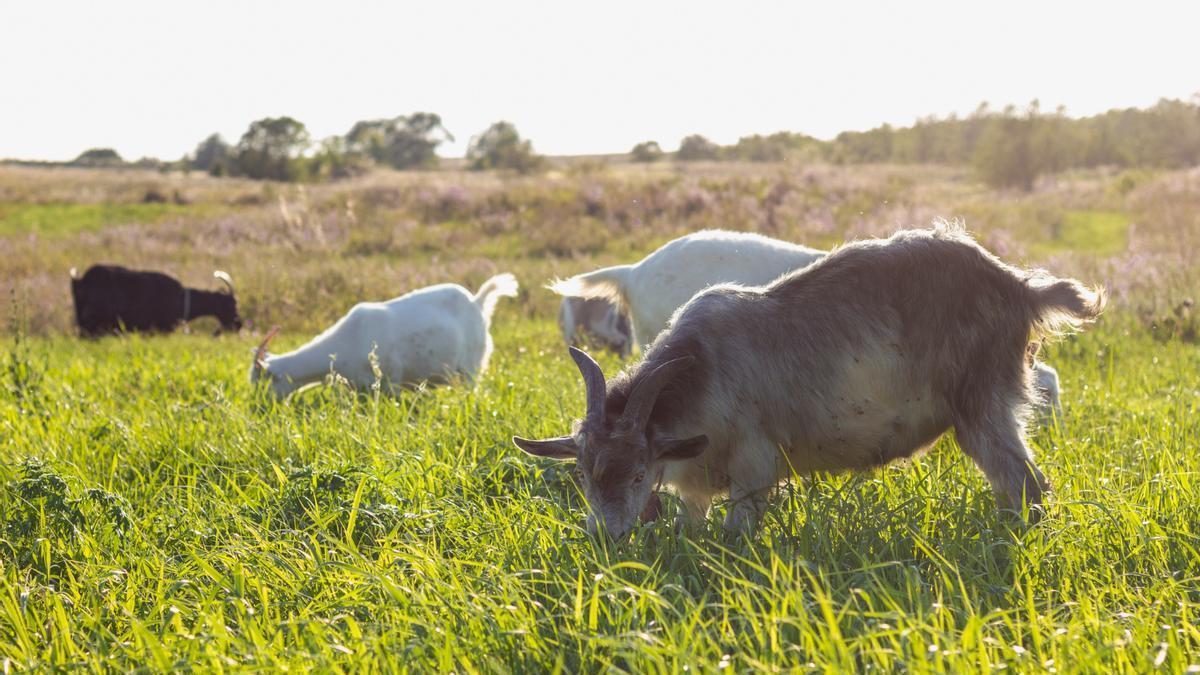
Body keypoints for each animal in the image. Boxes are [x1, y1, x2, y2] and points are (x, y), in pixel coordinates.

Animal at [250, 273, 518, 398]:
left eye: (262, 381)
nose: (260, 408)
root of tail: (478, 302)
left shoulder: (390, 380)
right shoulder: (360, 388)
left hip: (471, 367)